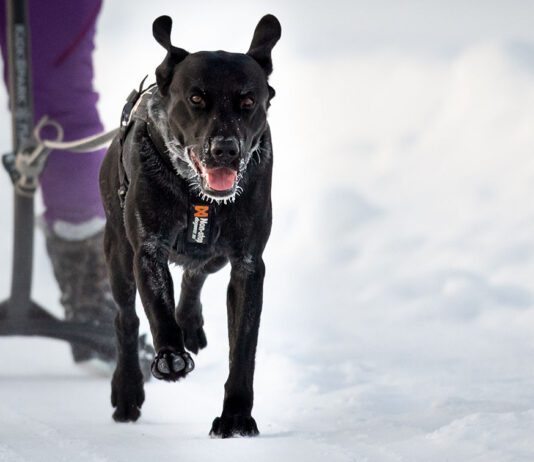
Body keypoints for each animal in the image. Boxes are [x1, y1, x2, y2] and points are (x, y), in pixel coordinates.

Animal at [99, 14, 281, 438]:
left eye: (249, 101)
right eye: (196, 98)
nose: (225, 149)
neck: (200, 198)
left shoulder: (248, 263)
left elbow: (243, 347)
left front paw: (236, 416)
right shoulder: (148, 249)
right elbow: (157, 310)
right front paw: (170, 356)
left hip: (215, 257)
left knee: (195, 272)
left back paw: (191, 323)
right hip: (118, 254)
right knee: (125, 317)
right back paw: (127, 390)